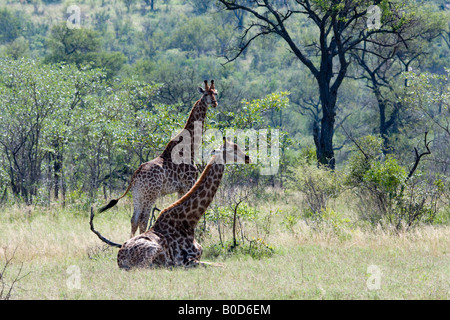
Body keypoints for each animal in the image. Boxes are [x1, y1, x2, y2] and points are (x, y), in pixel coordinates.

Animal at [89, 141, 251, 268]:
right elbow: (221, 265)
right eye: (232, 149)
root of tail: (120, 260)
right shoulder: (186, 261)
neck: (189, 221)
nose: (248, 158)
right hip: (151, 249)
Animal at [98, 80, 218, 236]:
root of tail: (135, 176)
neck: (190, 147)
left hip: (138, 195)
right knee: (143, 219)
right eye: (205, 94)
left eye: (215, 93)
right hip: (151, 194)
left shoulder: (180, 189)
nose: (215, 103)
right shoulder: (189, 183)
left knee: (134, 219)